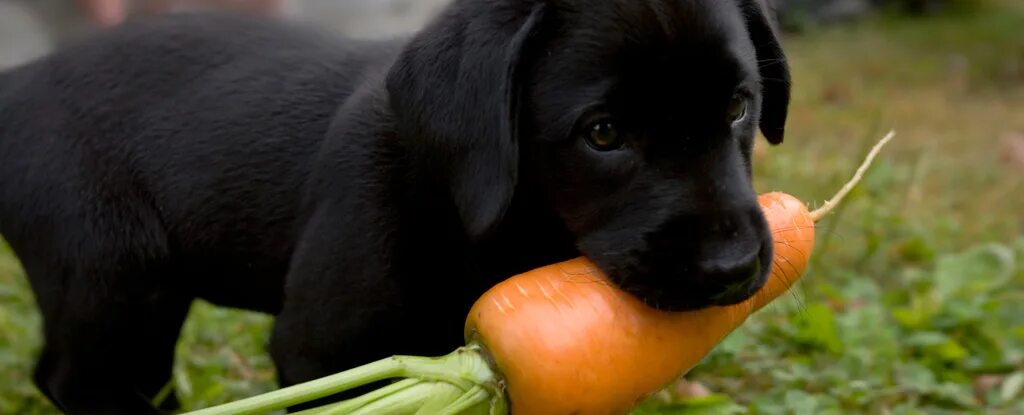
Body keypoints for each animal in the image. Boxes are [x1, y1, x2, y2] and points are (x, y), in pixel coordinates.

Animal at [0, 0, 790, 409]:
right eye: (602, 134)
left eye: (739, 107)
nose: (732, 265)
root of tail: (20, 80)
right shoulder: (317, 347)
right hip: (113, 268)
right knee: (77, 376)